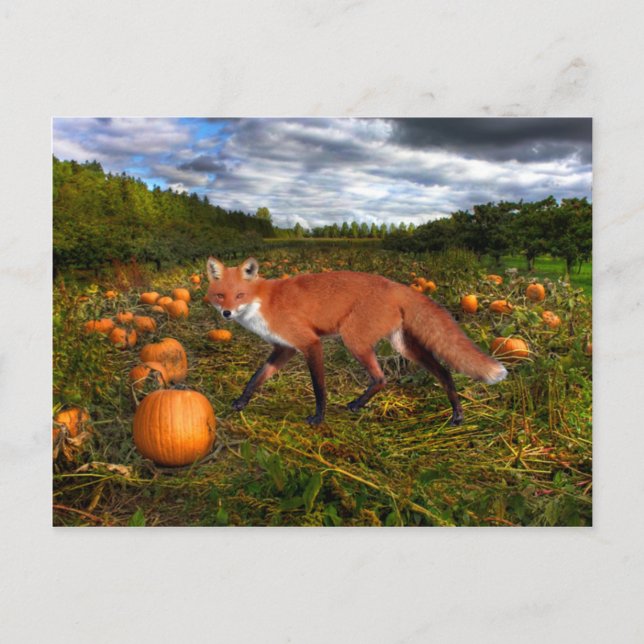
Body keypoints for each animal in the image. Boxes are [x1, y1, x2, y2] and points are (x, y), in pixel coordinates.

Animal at [206, 256, 507, 426]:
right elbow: (256, 378)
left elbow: (319, 388)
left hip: (353, 339)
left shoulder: (309, 343)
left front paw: (318, 418)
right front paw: (241, 402)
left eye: (240, 295)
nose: (226, 313)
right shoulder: (285, 348)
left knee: (382, 378)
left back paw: (357, 404)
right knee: (443, 372)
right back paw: (457, 413)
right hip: (402, 345)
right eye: (221, 295)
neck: (263, 302)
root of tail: (396, 285)